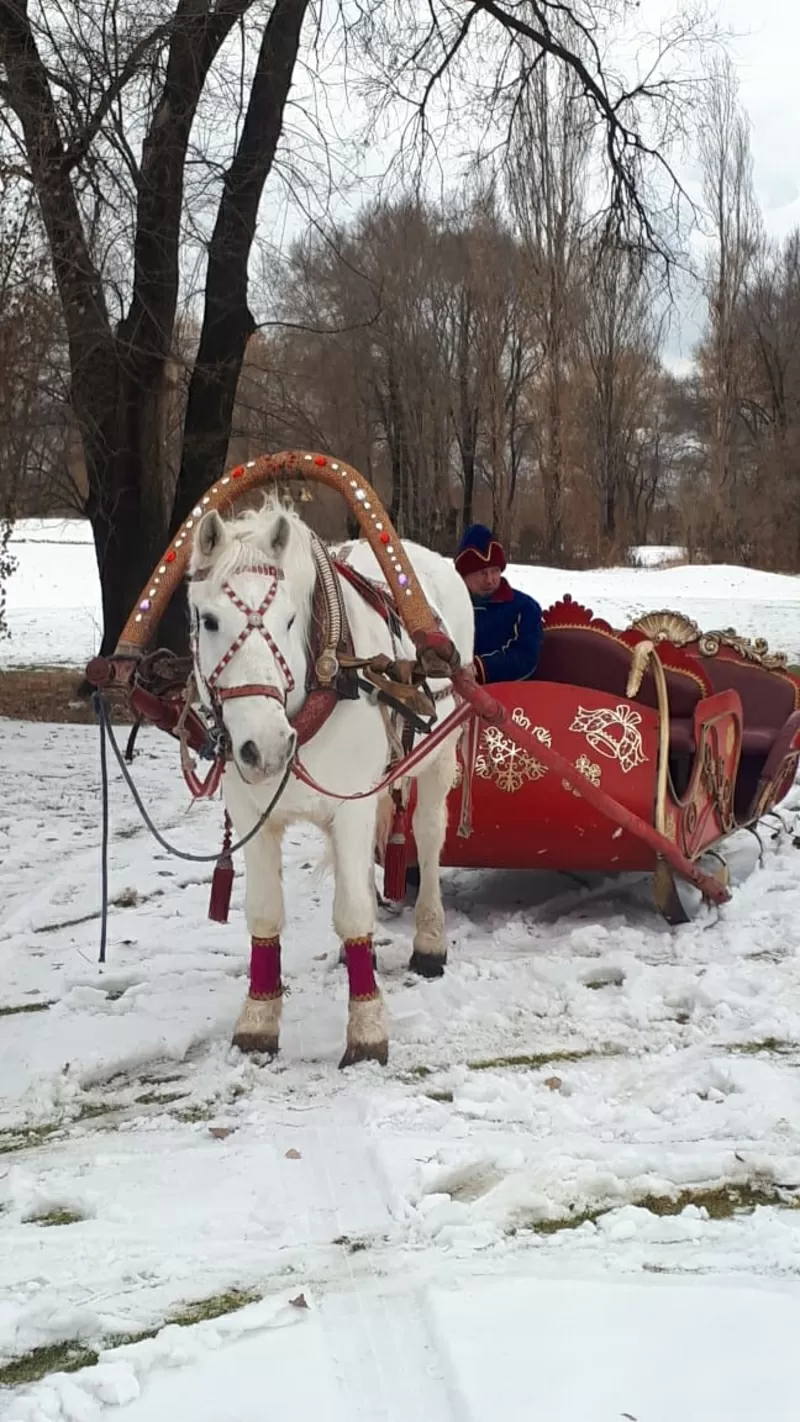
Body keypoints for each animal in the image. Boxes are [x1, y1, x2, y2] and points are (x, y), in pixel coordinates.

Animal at [188, 500, 474, 1069]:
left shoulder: (352, 808)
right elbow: (265, 913)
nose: (267, 747)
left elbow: (353, 909)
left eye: (289, 619)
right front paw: (258, 1020)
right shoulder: (254, 814)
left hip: (437, 759)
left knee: (429, 837)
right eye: (208, 620)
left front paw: (366, 1029)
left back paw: (430, 940)